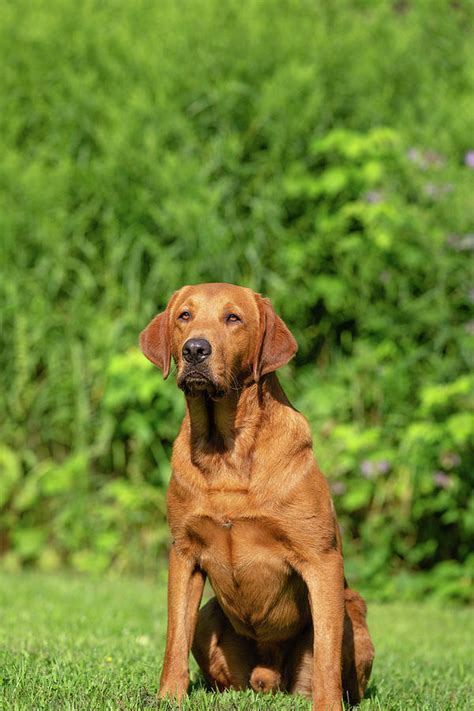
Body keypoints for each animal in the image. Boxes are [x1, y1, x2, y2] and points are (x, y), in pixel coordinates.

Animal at [140, 284, 374, 711]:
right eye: (184, 316)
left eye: (233, 318)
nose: (195, 349)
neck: (225, 450)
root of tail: (268, 676)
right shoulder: (183, 553)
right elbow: (174, 637)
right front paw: (169, 697)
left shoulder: (322, 560)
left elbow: (327, 653)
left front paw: (328, 705)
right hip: (210, 618)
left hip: (355, 611)